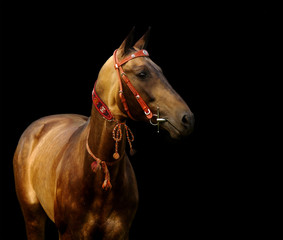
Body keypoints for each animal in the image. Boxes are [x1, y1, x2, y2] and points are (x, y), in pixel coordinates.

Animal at [13, 28, 195, 240]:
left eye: (161, 71)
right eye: (142, 73)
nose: (187, 119)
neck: (99, 174)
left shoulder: (120, 233)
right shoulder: (69, 233)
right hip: (33, 217)